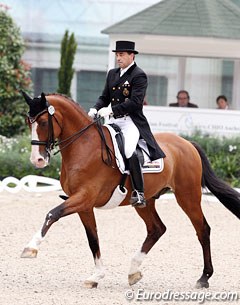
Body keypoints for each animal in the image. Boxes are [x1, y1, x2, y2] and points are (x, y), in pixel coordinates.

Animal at [21, 91, 240, 288]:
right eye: (29, 122)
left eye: (42, 122)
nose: (37, 160)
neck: (84, 147)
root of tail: (188, 144)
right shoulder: (84, 205)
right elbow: (93, 239)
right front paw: (96, 276)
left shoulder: (84, 197)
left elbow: (52, 214)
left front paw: (30, 248)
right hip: (146, 201)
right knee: (156, 229)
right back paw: (133, 272)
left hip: (188, 196)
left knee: (202, 229)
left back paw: (204, 278)